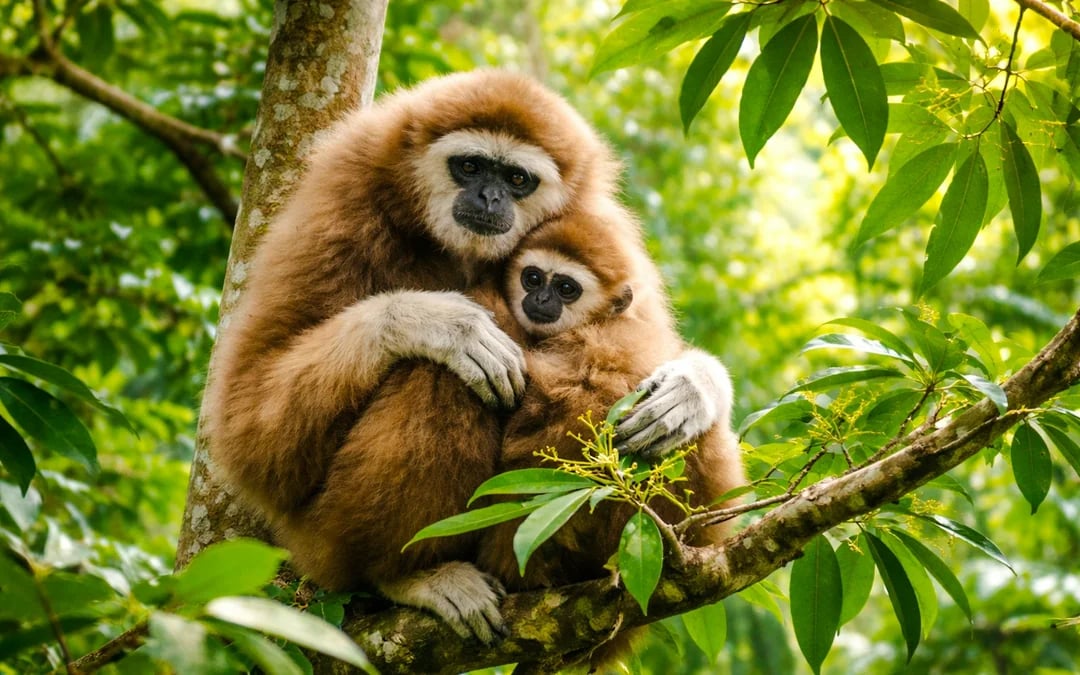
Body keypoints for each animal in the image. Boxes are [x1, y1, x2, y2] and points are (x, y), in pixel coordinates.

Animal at [203, 69, 740, 644]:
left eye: (518, 178)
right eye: (470, 166)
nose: (488, 195)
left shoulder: (595, 218)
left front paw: (695, 385)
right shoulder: (342, 199)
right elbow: (251, 429)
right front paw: (439, 323)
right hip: (321, 540)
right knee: (442, 375)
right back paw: (405, 573)